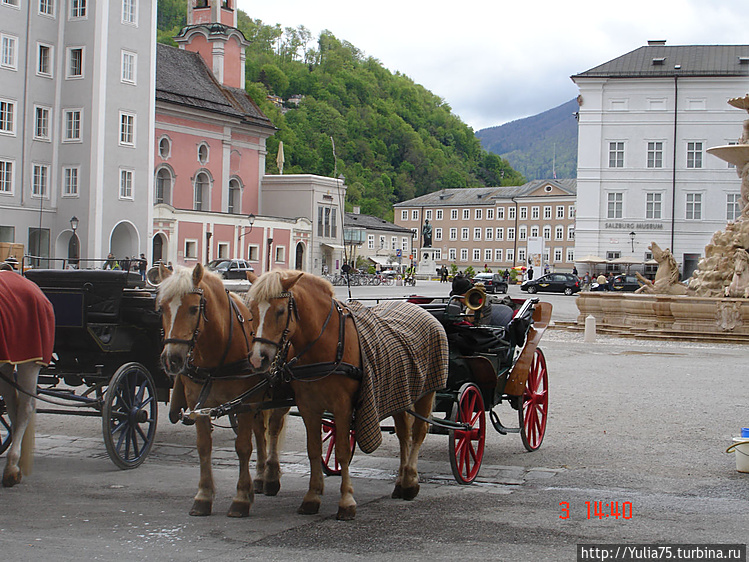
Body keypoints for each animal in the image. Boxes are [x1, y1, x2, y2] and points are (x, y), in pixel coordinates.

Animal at [156, 264, 288, 516]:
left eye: (194, 308)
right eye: (162, 307)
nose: (172, 359)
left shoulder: (243, 405)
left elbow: (243, 447)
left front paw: (241, 497)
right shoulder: (198, 405)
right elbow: (203, 447)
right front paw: (204, 495)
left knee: (273, 431)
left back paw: (271, 476)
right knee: (260, 432)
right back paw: (259, 476)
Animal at [245, 270, 448, 520]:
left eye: (281, 310)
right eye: (252, 309)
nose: (258, 359)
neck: (325, 343)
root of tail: (422, 310)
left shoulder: (342, 407)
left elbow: (342, 451)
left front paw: (346, 501)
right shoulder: (308, 407)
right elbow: (313, 449)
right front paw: (312, 496)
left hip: (426, 393)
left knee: (418, 433)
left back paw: (410, 480)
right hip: (399, 393)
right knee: (403, 435)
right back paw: (401, 482)